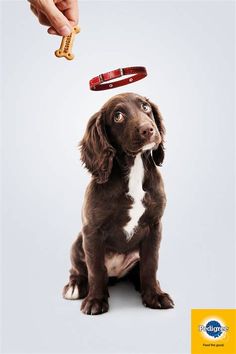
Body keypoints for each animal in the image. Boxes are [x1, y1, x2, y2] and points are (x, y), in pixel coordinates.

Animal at [62, 92, 173, 314]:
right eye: (118, 116)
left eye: (146, 107)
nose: (148, 129)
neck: (134, 169)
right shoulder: (93, 231)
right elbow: (95, 269)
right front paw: (95, 300)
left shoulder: (154, 226)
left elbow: (150, 265)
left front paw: (154, 295)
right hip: (78, 242)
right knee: (79, 269)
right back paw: (76, 285)